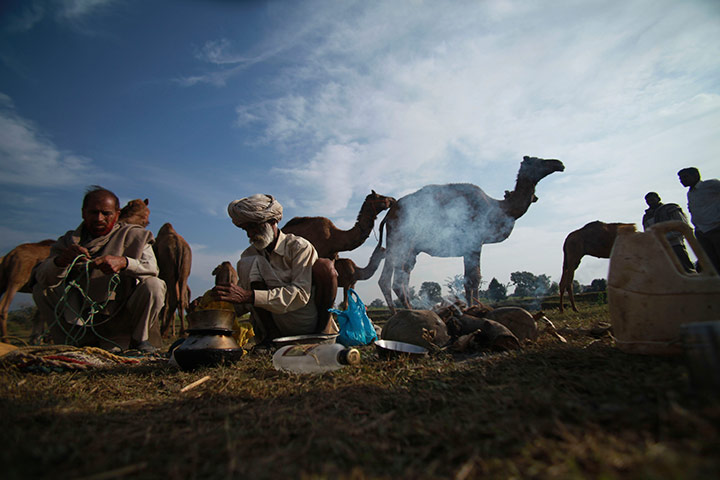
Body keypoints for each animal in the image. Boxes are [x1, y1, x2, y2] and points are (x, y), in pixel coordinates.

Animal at [378, 156, 565, 312]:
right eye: (536, 161)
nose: (559, 163)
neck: (499, 208)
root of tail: (389, 214)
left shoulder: (471, 246)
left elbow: (472, 278)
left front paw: (473, 306)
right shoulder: (474, 242)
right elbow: (474, 277)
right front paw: (474, 307)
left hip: (408, 246)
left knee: (399, 274)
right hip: (402, 239)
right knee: (395, 277)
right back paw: (406, 311)